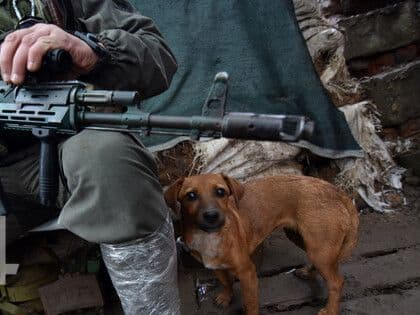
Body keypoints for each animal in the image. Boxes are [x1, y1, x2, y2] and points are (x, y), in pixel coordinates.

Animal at [164, 174, 358, 314]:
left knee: (336, 282)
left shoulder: (248, 273)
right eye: (191, 195)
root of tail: (335, 190)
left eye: (221, 192)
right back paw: (308, 272)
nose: (212, 216)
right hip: (305, 241)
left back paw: (330, 310)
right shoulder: (216, 267)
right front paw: (226, 298)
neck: (209, 237)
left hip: (318, 248)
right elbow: (226, 282)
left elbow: (251, 304)